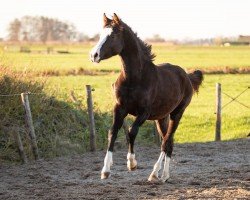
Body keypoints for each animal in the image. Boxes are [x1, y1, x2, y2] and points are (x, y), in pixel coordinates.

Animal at [90, 13, 203, 183]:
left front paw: (132, 164)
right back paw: (160, 174)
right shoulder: (119, 108)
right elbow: (112, 133)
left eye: (113, 35)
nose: (93, 55)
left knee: (166, 142)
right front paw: (105, 171)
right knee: (168, 142)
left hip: (177, 114)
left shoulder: (144, 112)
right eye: (100, 35)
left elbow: (131, 131)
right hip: (162, 117)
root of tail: (186, 76)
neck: (134, 78)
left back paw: (159, 174)